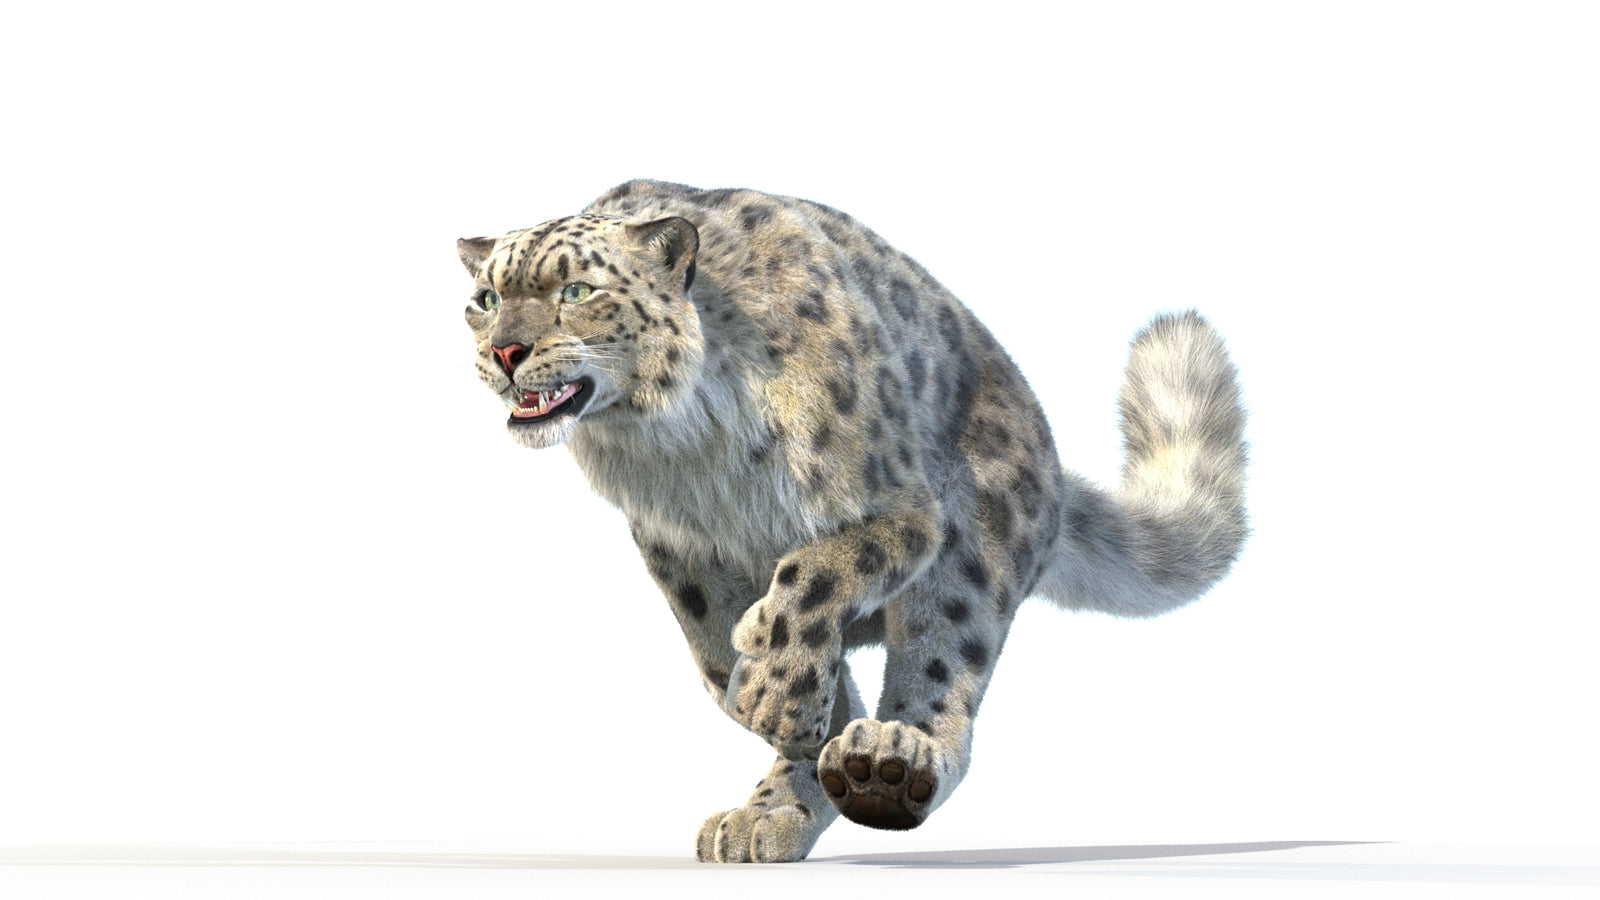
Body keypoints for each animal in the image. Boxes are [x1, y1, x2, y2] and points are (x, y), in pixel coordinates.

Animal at [455, 179, 1248, 863]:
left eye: (576, 291)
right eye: (485, 298)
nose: (505, 351)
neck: (683, 445)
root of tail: (1047, 462)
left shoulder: (900, 507)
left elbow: (817, 571)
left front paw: (775, 690)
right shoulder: (681, 552)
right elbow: (726, 649)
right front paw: (777, 710)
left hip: (972, 547)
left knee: (943, 675)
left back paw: (887, 765)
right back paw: (776, 808)